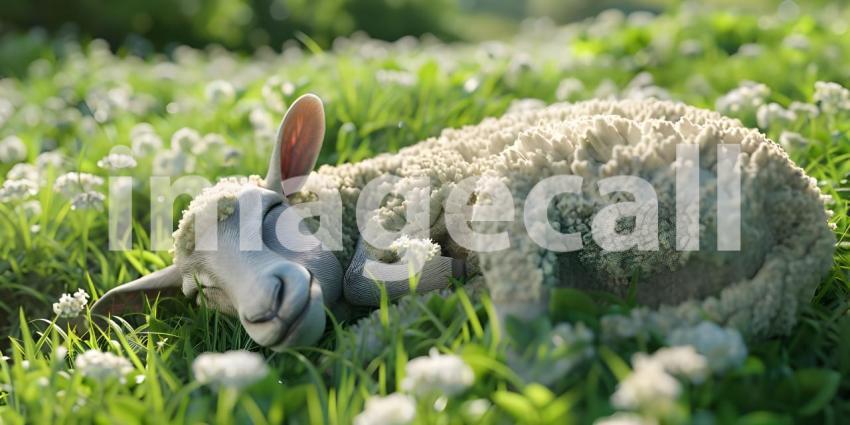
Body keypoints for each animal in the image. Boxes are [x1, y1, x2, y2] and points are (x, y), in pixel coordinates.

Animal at [93, 94, 835, 349]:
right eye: (201, 292)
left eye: (273, 209)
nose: (265, 310)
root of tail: (804, 225)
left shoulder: (411, 199)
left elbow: (367, 276)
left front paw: (425, 273)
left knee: (525, 321)